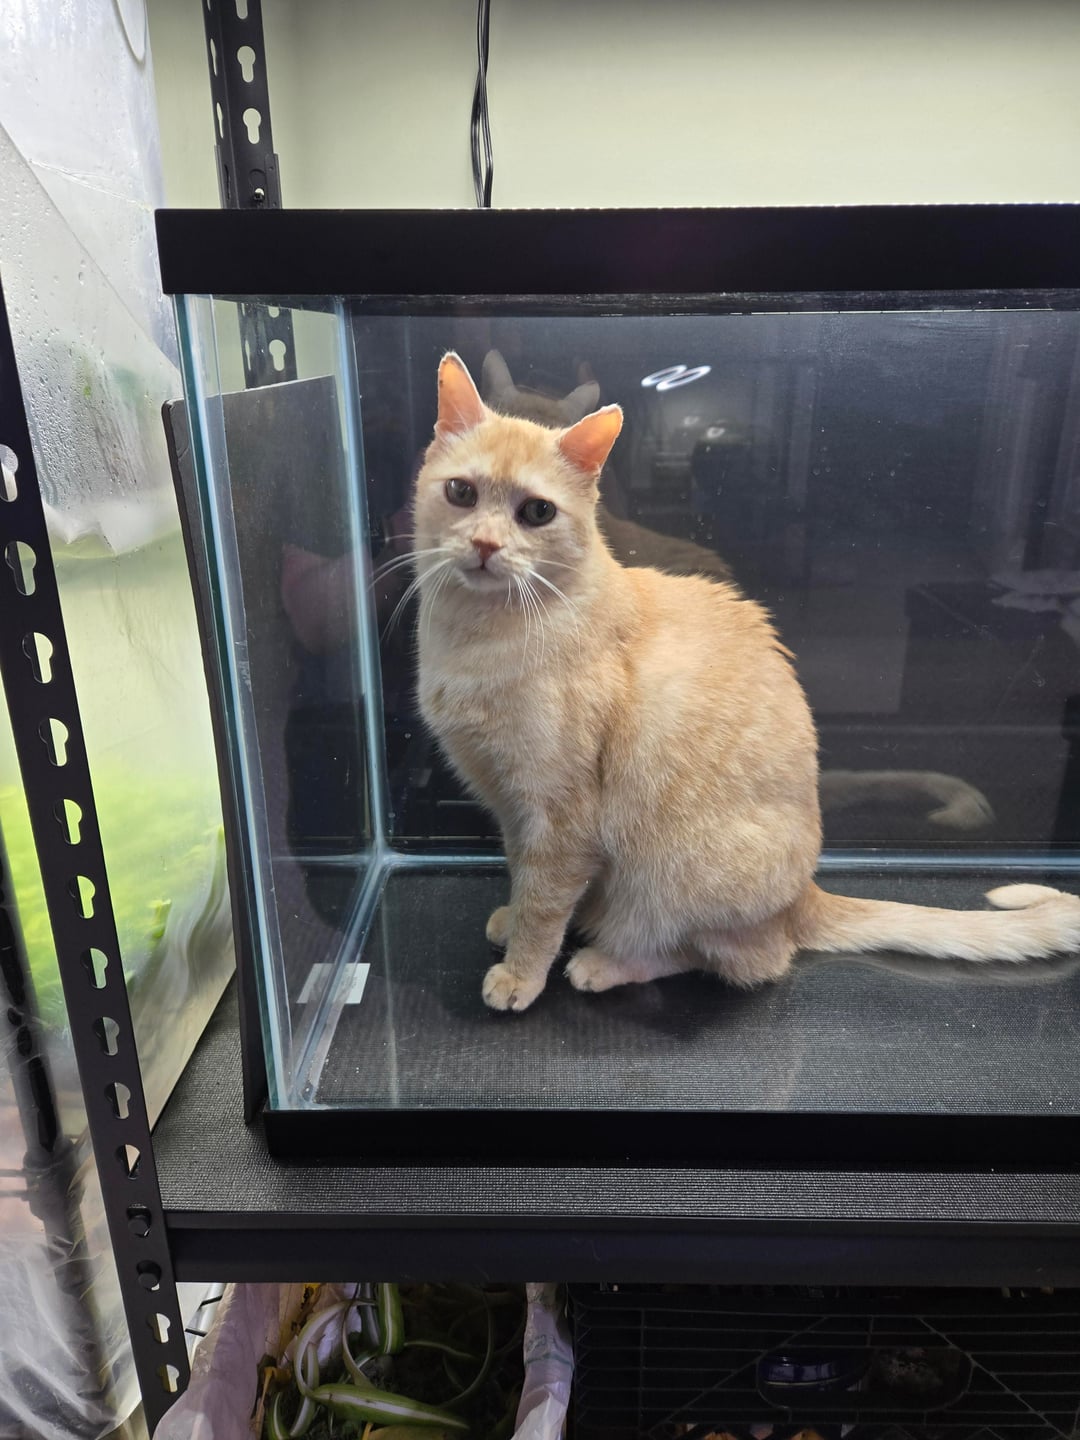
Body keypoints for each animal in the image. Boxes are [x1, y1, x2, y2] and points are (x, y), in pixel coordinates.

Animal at [414, 353, 1080, 1011]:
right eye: (462, 492)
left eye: (537, 512)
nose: (485, 544)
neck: (474, 636)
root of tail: (803, 894)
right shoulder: (510, 807)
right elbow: (522, 876)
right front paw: (511, 919)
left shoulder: (559, 816)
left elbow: (545, 901)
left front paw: (521, 973)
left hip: (673, 879)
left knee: (734, 958)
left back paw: (605, 964)